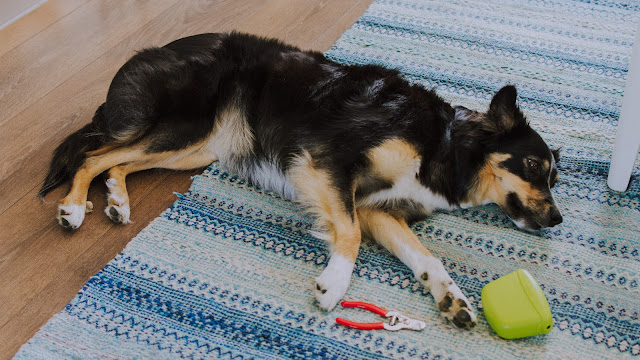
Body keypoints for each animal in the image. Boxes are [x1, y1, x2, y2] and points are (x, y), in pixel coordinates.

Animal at [38, 31, 560, 330]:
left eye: (554, 175)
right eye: (535, 167)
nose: (556, 219)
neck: (447, 144)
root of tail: (155, 51)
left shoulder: (377, 209)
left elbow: (424, 257)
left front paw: (451, 298)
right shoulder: (327, 163)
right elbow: (348, 232)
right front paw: (335, 283)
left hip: (193, 149)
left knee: (117, 163)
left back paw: (117, 201)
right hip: (185, 126)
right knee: (92, 155)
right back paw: (73, 208)